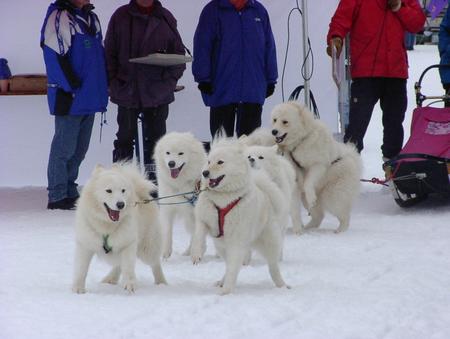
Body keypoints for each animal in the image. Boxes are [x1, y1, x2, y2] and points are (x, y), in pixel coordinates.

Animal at [72, 163, 167, 294]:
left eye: (123, 190)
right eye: (108, 191)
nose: (121, 204)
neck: (106, 225)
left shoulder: (128, 243)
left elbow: (128, 267)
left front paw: (130, 284)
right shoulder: (85, 244)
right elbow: (81, 269)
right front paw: (78, 289)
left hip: (147, 248)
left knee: (155, 263)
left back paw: (161, 282)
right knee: (118, 264)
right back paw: (110, 279)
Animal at [190, 138, 288, 294]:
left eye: (220, 162)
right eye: (209, 161)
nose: (205, 172)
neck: (223, 199)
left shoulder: (236, 240)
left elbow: (233, 269)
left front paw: (226, 291)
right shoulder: (204, 220)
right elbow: (198, 237)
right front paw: (196, 255)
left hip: (269, 244)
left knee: (273, 267)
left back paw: (282, 285)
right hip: (222, 246)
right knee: (230, 265)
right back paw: (221, 282)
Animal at [270, 101, 362, 234]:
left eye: (285, 122)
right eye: (274, 120)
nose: (274, 131)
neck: (300, 142)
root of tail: (353, 158)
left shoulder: (318, 164)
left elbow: (308, 182)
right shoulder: (295, 181)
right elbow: (295, 210)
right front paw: (297, 231)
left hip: (332, 196)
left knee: (344, 216)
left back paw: (340, 231)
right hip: (310, 200)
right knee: (319, 216)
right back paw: (308, 228)